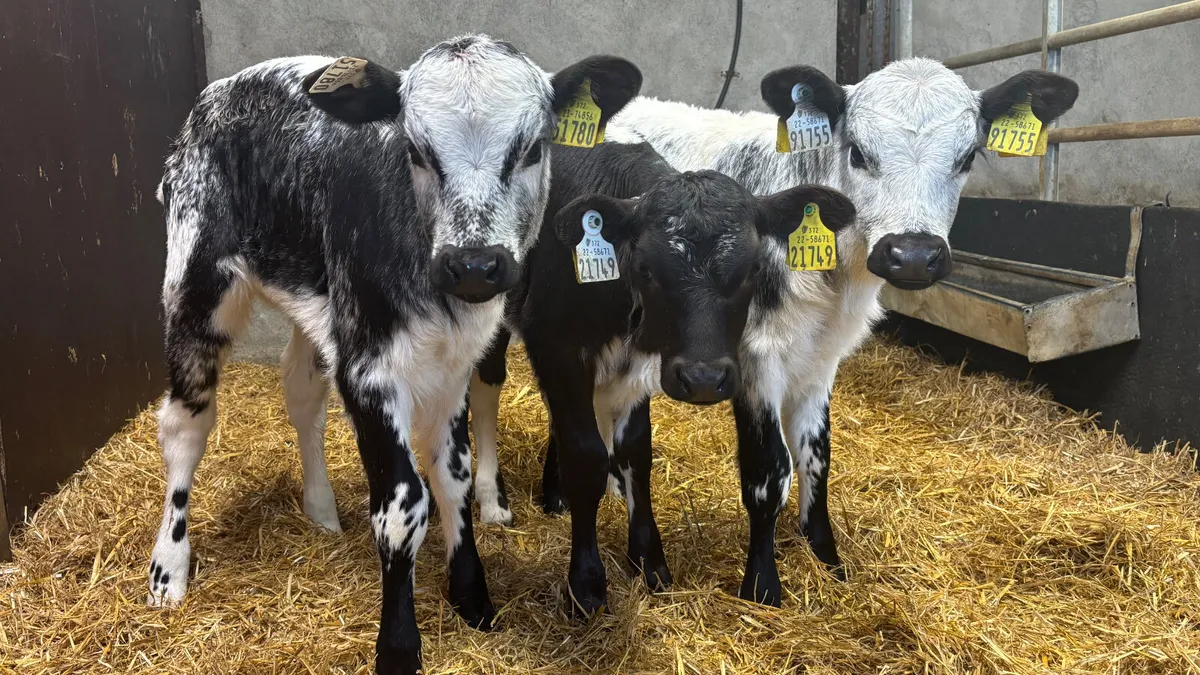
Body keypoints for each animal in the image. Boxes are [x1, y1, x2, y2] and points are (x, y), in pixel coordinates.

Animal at [148, 35, 640, 674]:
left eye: (534, 148)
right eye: (416, 150)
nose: (474, 264)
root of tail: (216, 92)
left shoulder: (452, 368)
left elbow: (453, 478)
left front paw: (472, 595)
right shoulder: (368, 371)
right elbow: (404, 506)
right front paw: (399, 647)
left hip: (318, 304)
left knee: (302, 391)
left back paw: (321, 510)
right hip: (196, 280)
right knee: (186, 422)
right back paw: (169, 568)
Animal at [471, 58, 1079, 606]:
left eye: (967, 156)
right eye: (858, 152)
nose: (912, 255)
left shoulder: (820, 359)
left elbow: (816, 456)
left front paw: (827, 559)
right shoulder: (753, 359)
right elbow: (770, 470)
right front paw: (762, 585)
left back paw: (560, 496)